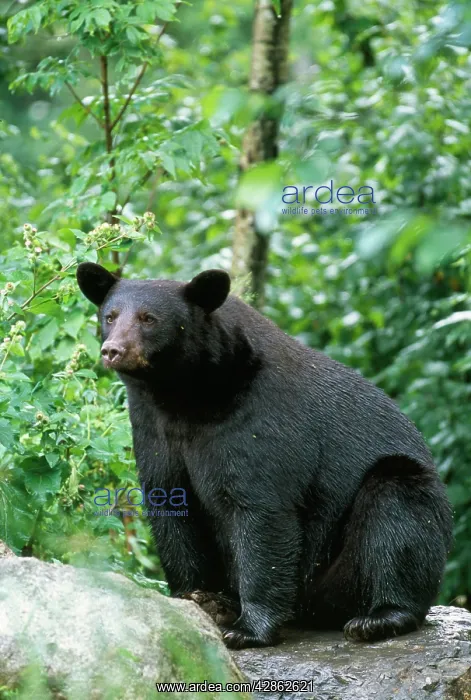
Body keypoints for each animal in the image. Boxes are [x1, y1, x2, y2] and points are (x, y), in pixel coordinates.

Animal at [77, 262, 453, 650]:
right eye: (110, 316)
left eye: (149, 318)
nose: (112, 350)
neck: (185, 396)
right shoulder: (153, 429)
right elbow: (171, 506)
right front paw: (194, 597)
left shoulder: (259, 420)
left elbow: (262, 512)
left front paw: (248, 629)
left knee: (395, 512)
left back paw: (378, 618)